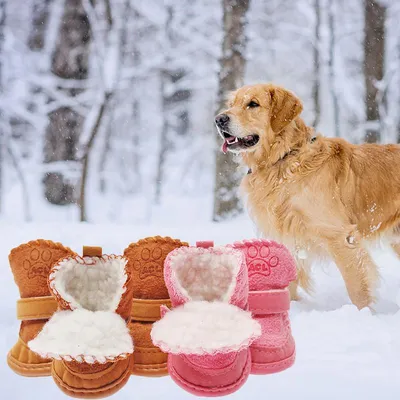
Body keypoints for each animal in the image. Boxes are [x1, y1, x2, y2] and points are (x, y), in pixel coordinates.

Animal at [217, 83, 400, 310]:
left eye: (253, 104)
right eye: (231, 104)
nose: (219, 119)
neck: (284, 159)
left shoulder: (340, 235)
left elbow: (357, 289)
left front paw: (364, 313)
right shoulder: (286, 234)